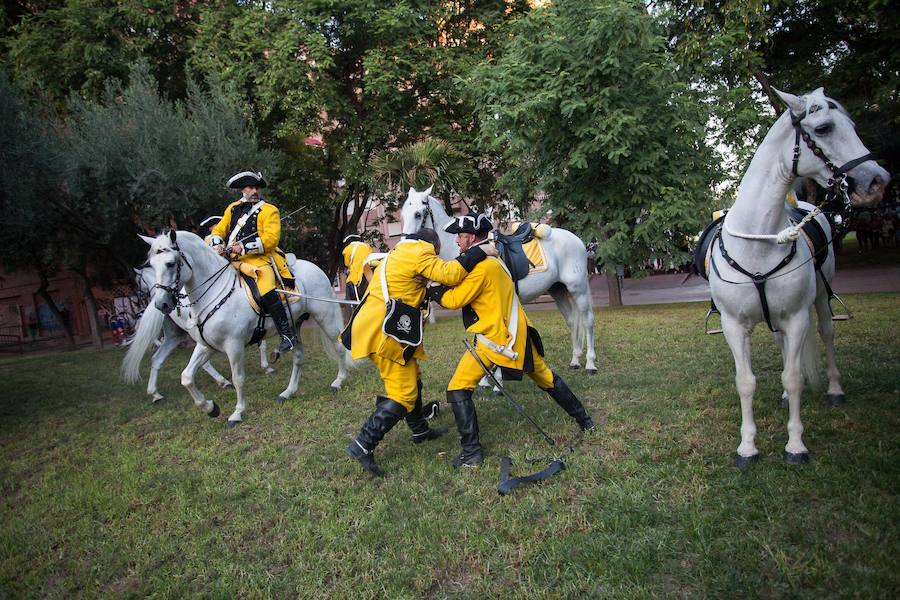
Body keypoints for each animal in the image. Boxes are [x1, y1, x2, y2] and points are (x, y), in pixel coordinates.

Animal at [131, 262, 274, 404]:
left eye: (137, 282)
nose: (138, 299)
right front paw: (267, 365)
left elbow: (262, 342)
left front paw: (267, 365)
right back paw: (222, 381)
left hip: (174, 336)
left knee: (157, 358)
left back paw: (155, 394)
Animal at [400, 188, 596, 376]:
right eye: (402, 215)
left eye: (418, 214)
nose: (404, 245)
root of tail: (576, 239)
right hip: (558, 290)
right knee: (572, 321)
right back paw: (575, 360)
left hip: (578, 289)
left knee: (587, 321)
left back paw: (590, 364)